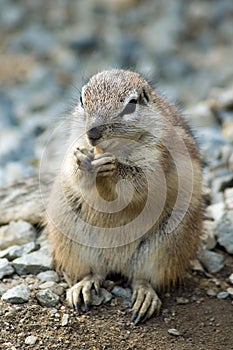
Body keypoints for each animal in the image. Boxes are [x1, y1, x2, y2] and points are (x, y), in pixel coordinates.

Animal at [46, 69, 202, 326]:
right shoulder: (72, 145)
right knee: (96, 273)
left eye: (131, 105)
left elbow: (141, 183)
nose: (92, 133)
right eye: (81, 100)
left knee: (143, 279)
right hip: (73, 241)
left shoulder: (158, 157)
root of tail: (116, 262)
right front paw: (84, 163)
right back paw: (83, 287)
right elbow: (75, 172)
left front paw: (115, 168)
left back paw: (145, 299)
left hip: (167, 246)